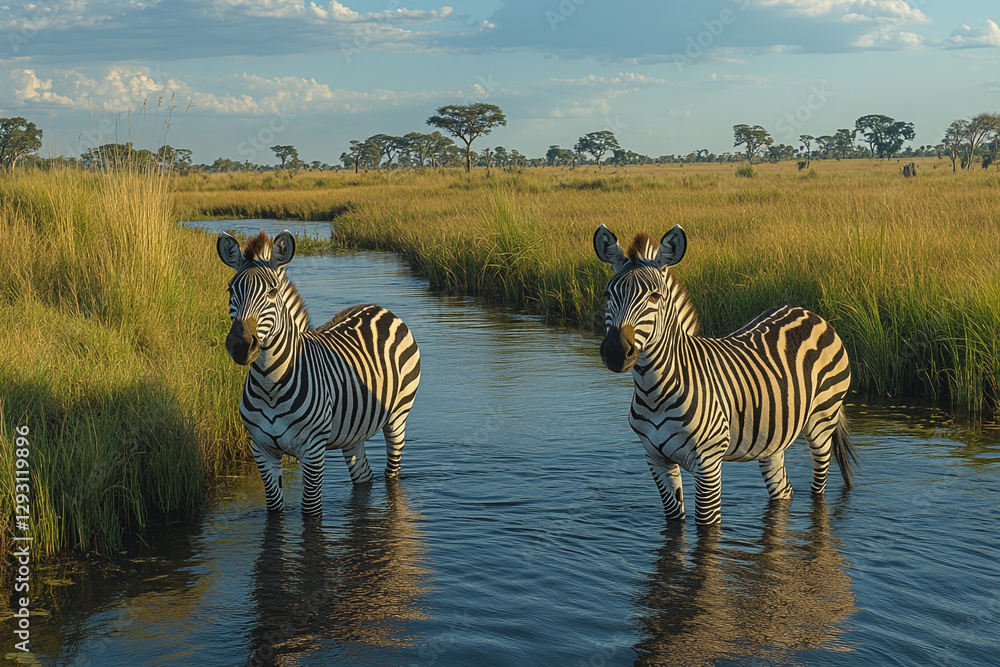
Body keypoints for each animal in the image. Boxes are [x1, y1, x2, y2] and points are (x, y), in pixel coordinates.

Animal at [217, 230, 421, 516]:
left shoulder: (313, 449)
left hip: (398, 415)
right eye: (230, 289)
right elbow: (274, 509)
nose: (240, 345)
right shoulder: (262, 449)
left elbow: (311, 510)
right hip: (352, 432)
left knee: (392, 471)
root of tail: (379, 307)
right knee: (364, 476)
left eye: (272, 291)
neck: (270, 385)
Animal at [593, 224, 857, 525]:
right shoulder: (656, 459)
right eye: (607, 295)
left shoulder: (708, 462)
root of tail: (808, 312)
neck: (653, 390)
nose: (616, 351)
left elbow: (707, 526)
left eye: (654, 297)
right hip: (773, 438)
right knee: (784, 490)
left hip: (822, 420)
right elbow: (674, 521)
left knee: (818, 488)